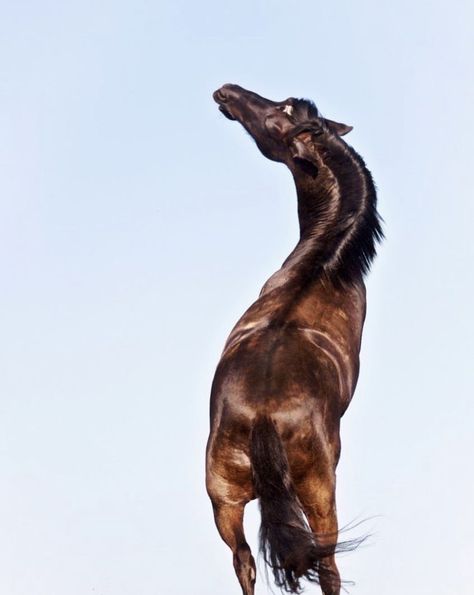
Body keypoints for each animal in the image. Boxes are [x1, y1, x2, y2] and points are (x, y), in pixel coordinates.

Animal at [206, 85, 384, 595]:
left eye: (278, 116)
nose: (227, 92)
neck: (327, 259)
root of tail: (264, 414)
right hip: (319, 490)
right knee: (327, 566)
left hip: (223, 497)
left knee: (244, 560)